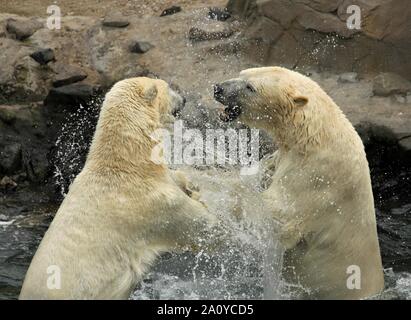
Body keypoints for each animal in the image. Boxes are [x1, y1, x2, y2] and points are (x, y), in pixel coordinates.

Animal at [19, 77, 217, 300]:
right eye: (168, 87)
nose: (184, 98)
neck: (126, 164)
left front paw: (192, 186)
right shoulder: (156, 207)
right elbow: (202, 226)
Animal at [216, 67, 386, 300]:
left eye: (250, 87)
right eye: (243, 73)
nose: (218, 88)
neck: (314, 136)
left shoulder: (314, 177)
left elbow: (275, 213)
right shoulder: (285, 158)